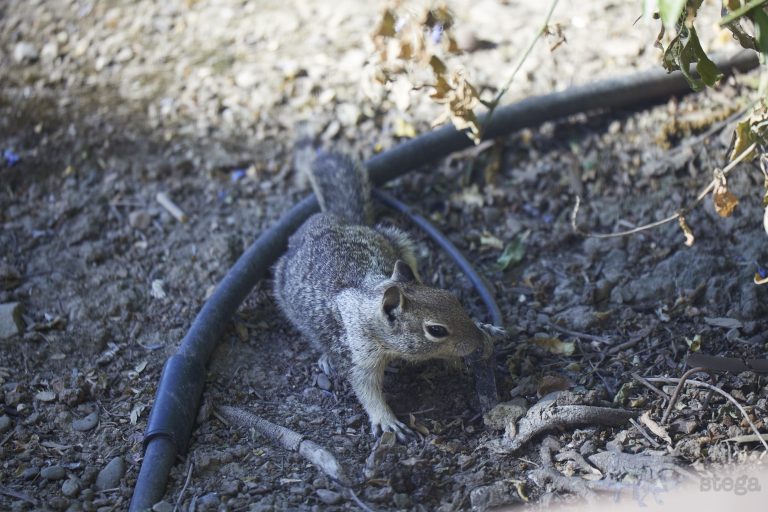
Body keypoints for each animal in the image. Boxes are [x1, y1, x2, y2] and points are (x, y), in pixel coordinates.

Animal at [273, 151, 493, 441]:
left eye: (453, 299)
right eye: (436, 330)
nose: (476, 340)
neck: (370, 297)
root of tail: (331, 217)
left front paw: (483, 329)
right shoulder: (357, 356)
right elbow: (365, 389)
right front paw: (386, 420)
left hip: (399, 242)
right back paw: (325, 358)